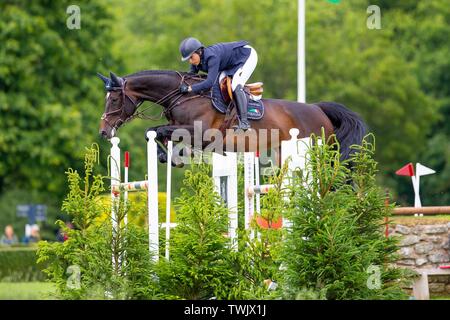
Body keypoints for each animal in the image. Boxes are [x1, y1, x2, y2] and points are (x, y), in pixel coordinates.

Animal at [98, 71, 366, 164]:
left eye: (114, 100)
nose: (103, 131)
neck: (185, 95)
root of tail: (319, 109)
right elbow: (156, 132)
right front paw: (168, 156)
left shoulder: (202, 134)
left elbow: (159, 130)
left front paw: (168, 156)